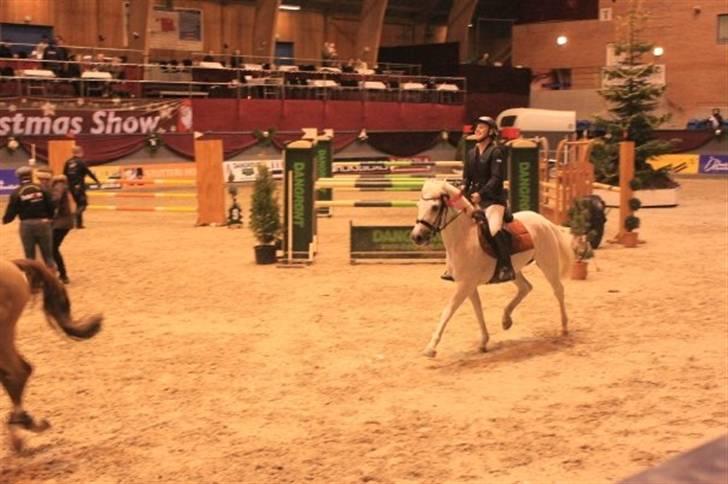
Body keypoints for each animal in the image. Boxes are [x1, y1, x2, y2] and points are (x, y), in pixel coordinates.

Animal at [410, 180, 573, 357]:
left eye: (434, 207)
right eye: (418, 205)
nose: (417, 237)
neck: (463, 238)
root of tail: (544, 220)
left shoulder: (464, 285)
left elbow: (448, 311)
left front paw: (430, 348)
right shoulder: (469, 285)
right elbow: (478, 310)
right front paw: (483, 342)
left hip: (547, 263)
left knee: (558, 290)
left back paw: (564, 327)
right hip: (514, 270)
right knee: (526, 287)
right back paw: (506, 320)